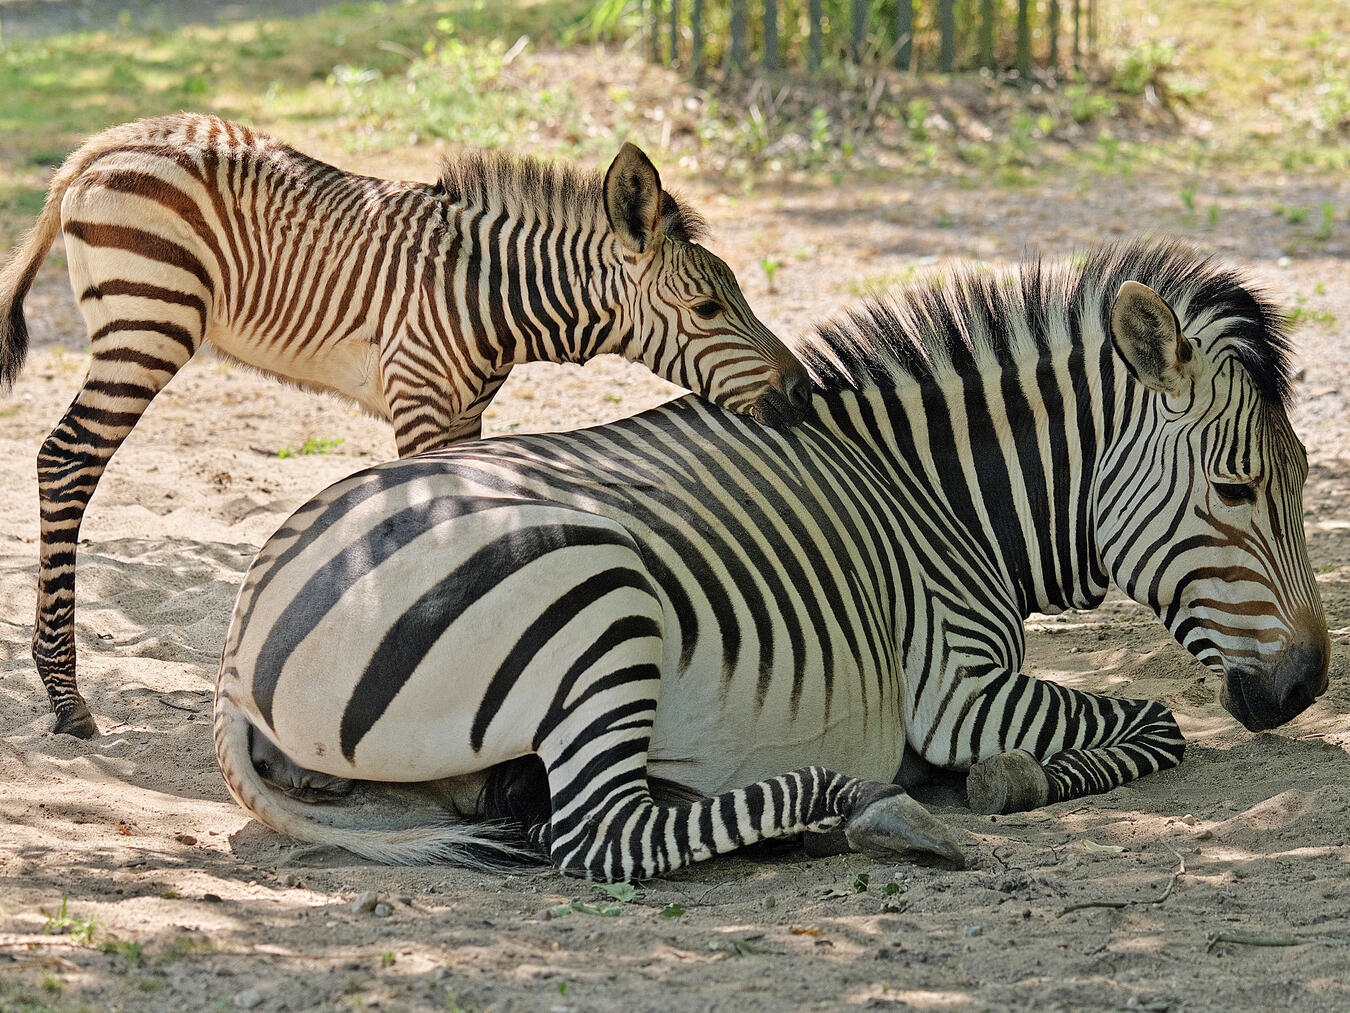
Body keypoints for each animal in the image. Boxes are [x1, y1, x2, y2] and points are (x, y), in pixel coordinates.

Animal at [0, 112, 811, 739]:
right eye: (708, 309)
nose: (802, 394)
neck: (493, 293)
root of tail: (106, 140)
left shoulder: (466, 413)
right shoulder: (420, 397)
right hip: (150, 322)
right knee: (66, 459)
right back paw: (66, 700)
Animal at [213, 239, 1329, 881]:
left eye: (1305, 476)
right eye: (1236, 490)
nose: (1309, 684)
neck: (942, 495)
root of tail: (239, 641)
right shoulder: (961, 689)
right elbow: (1157, 722)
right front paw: (1010, 780)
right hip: (595, 598)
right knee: (600, 837)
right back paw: (871, 810)